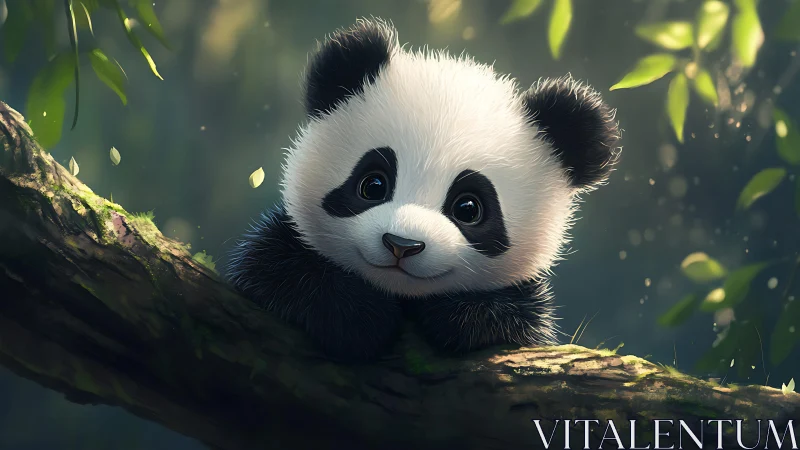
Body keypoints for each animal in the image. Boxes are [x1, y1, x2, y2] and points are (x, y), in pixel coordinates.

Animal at [226, 18, 621, 361]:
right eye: (373, 185)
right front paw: (357, 316)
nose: (402, 245)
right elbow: (277, 270)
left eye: (468, 208)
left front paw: (458, 316)